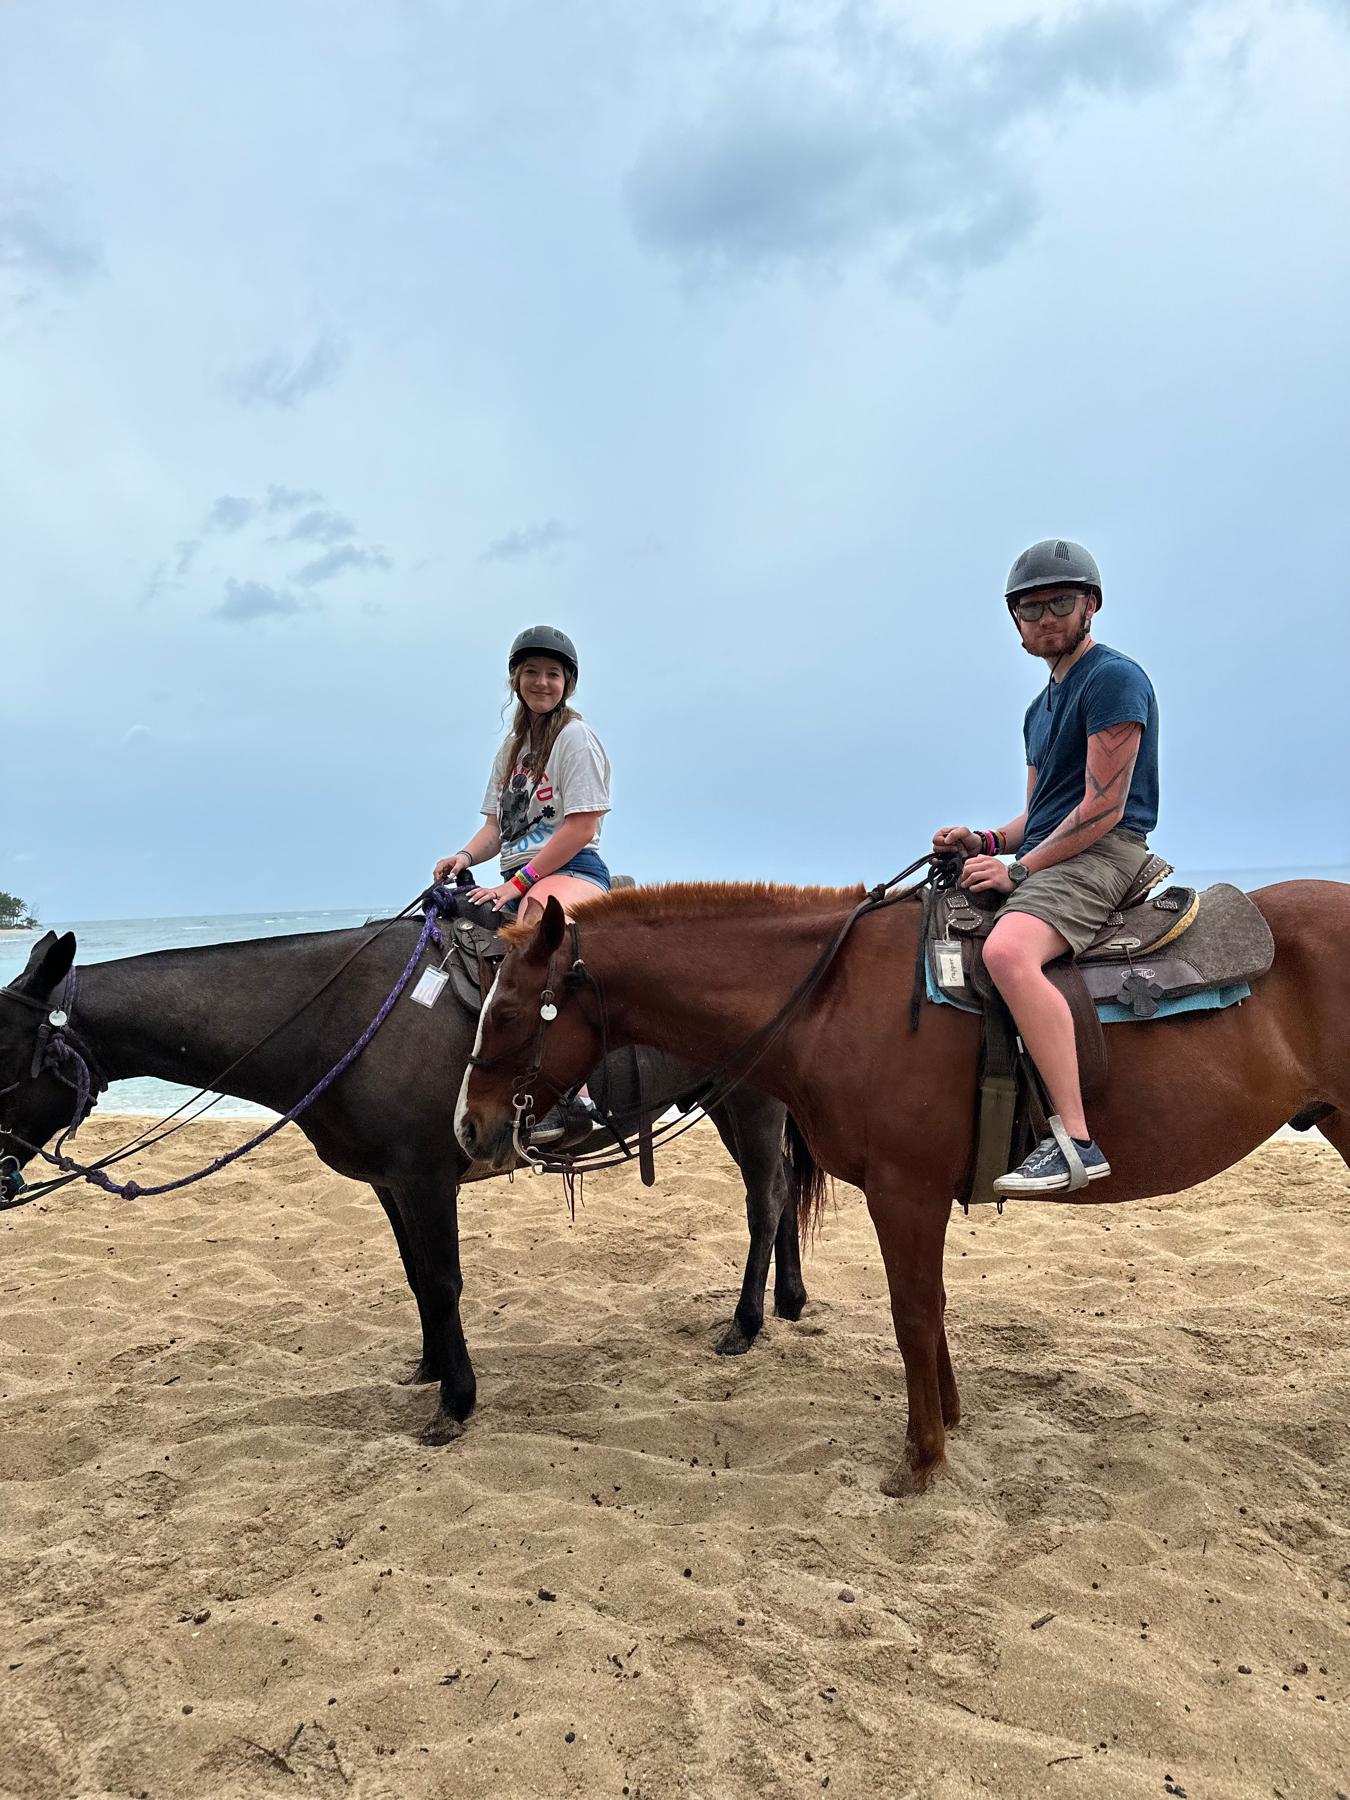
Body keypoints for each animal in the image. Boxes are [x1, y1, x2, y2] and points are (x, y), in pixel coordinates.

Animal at [457, 882, 1350, 1490]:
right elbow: (935, 1307)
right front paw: (948, 1420)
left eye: (506, 1012)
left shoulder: (903, 1192)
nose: (468, 1128)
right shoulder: (916, 1197)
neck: (834, 999)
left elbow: (913, 1315)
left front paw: (922, 1459)